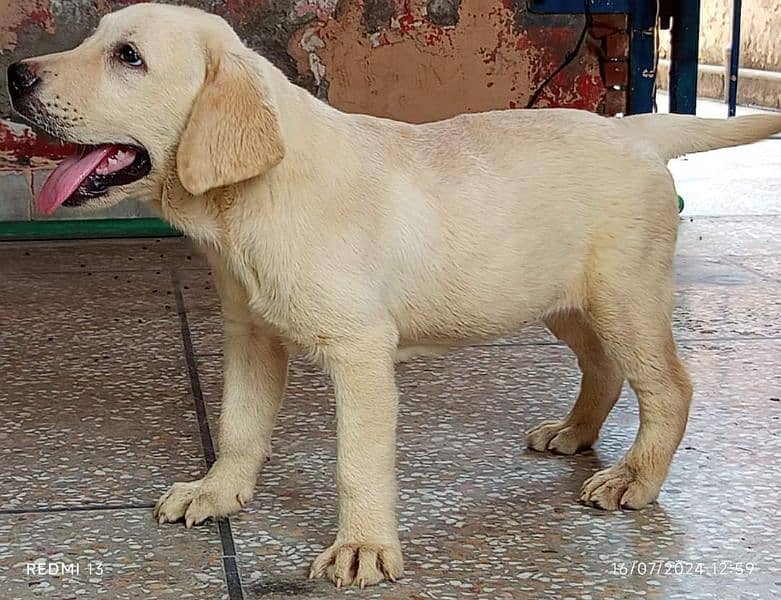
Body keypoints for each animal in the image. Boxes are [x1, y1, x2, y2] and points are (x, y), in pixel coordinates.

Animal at [10, 2, 780, 588]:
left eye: (129, 57)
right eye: (95, 39)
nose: (15, 75)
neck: (252, 199)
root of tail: (635, 127)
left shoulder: (360, 352)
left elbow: (358, 462)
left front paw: (363, 548)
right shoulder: (250, 333)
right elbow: (238, 425)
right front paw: (219, 491)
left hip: (625, 295)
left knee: (668, 386)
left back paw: (633, 479)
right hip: (560, 300)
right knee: (604, 367)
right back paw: (574, 432)